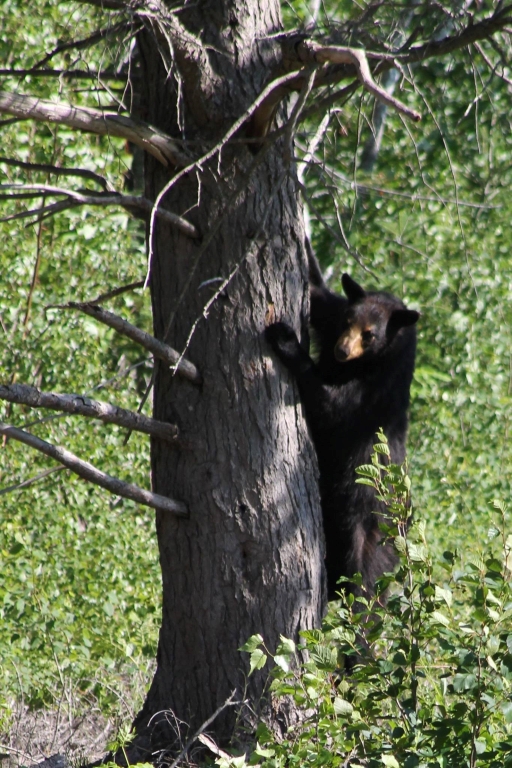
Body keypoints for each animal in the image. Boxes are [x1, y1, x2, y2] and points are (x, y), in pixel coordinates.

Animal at [266, 252, 418, 600]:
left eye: (370, 334)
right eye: (349, 321)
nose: (342, 350)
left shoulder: (375, 391)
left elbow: (332, 407)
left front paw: (287, 341)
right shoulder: (331, 316)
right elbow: (316, 293)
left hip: (372, 532)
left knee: (366, 587)